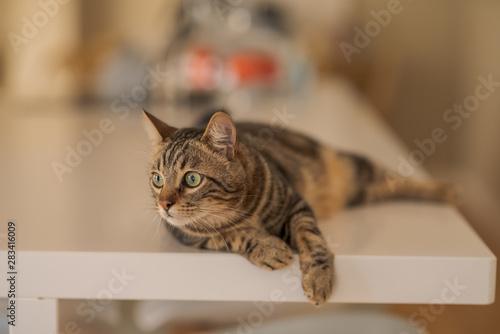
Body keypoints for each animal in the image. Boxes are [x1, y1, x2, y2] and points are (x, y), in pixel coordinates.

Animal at [142, 109, 458, 306]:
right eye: (157, 179)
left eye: (192, 178)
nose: (163, 204)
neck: (237, 209)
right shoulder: (188, 235)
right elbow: (233, 235)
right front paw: (268, 248)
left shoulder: (297, 206)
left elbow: (312, 240)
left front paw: (319, 278)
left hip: (354, 170)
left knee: (394, 178)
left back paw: (447, 190)